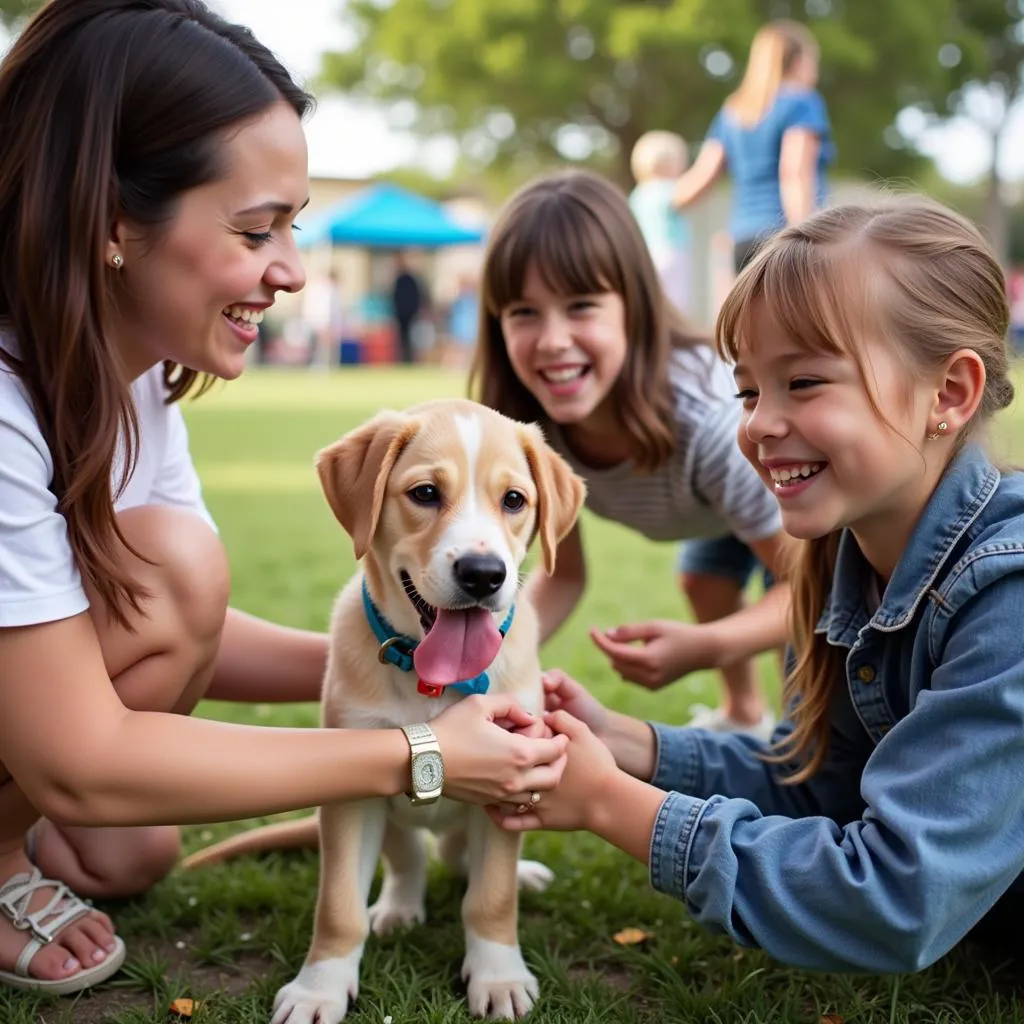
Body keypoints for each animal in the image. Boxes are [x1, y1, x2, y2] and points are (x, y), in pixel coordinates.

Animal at [187, 401, 581, 1024]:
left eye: (515, 500)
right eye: (425, 493)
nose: (483, 574)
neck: (432, 679)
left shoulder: (514, 776)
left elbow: (491, 899)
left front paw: (498, 975)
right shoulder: (350, 793)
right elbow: (338, 907)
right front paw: (319, 989)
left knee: (467, 864)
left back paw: (521, 874)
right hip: (391, 817)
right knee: (409, 859)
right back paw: (397, 908)